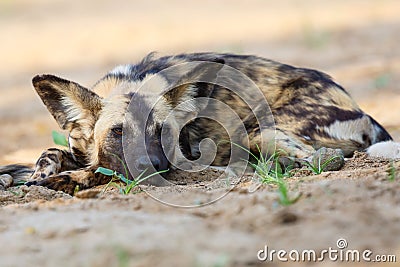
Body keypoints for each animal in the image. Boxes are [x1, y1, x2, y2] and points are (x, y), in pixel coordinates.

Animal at [0, 52, 394, 195]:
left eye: (163, 131)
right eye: (118, 132)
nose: (156, 166)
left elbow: (98, 173)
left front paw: (58, 181)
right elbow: (46, 154)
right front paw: (33, 174)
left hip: (258, 131)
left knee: (315, 159)